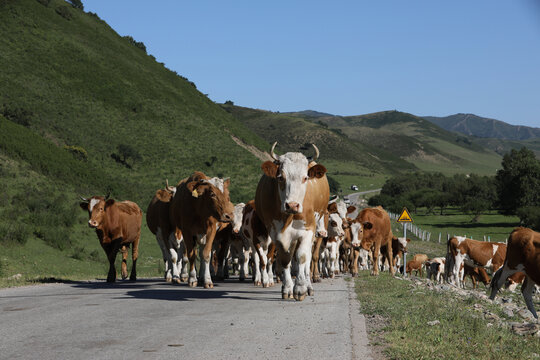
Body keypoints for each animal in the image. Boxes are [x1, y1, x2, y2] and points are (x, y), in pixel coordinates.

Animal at [254, 142, 330, 300]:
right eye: (280, 177)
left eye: (305, 177)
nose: (292, 205)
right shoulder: (275, 233)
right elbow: (285, 259)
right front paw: (287, 288)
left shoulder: (308, 230)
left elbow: (302, 257)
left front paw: (300, 288)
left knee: (307, 259)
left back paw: (309, 285)